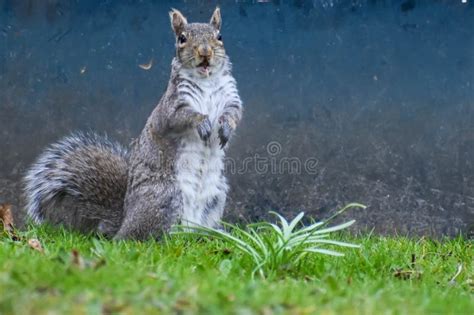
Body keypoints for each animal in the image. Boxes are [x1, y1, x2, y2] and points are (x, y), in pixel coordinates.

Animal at [23, 7, 243, 241]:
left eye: (219, 37)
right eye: (182, 39)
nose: (205, 52)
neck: (206, 80)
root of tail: (124, 222)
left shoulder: (231, 99)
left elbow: (234, 114)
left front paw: (226, 128)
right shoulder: (171, 107)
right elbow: (181, 117)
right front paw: (202, 122)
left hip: (216, 196)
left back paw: (210, 235)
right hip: (166, 196)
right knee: (144, 236)